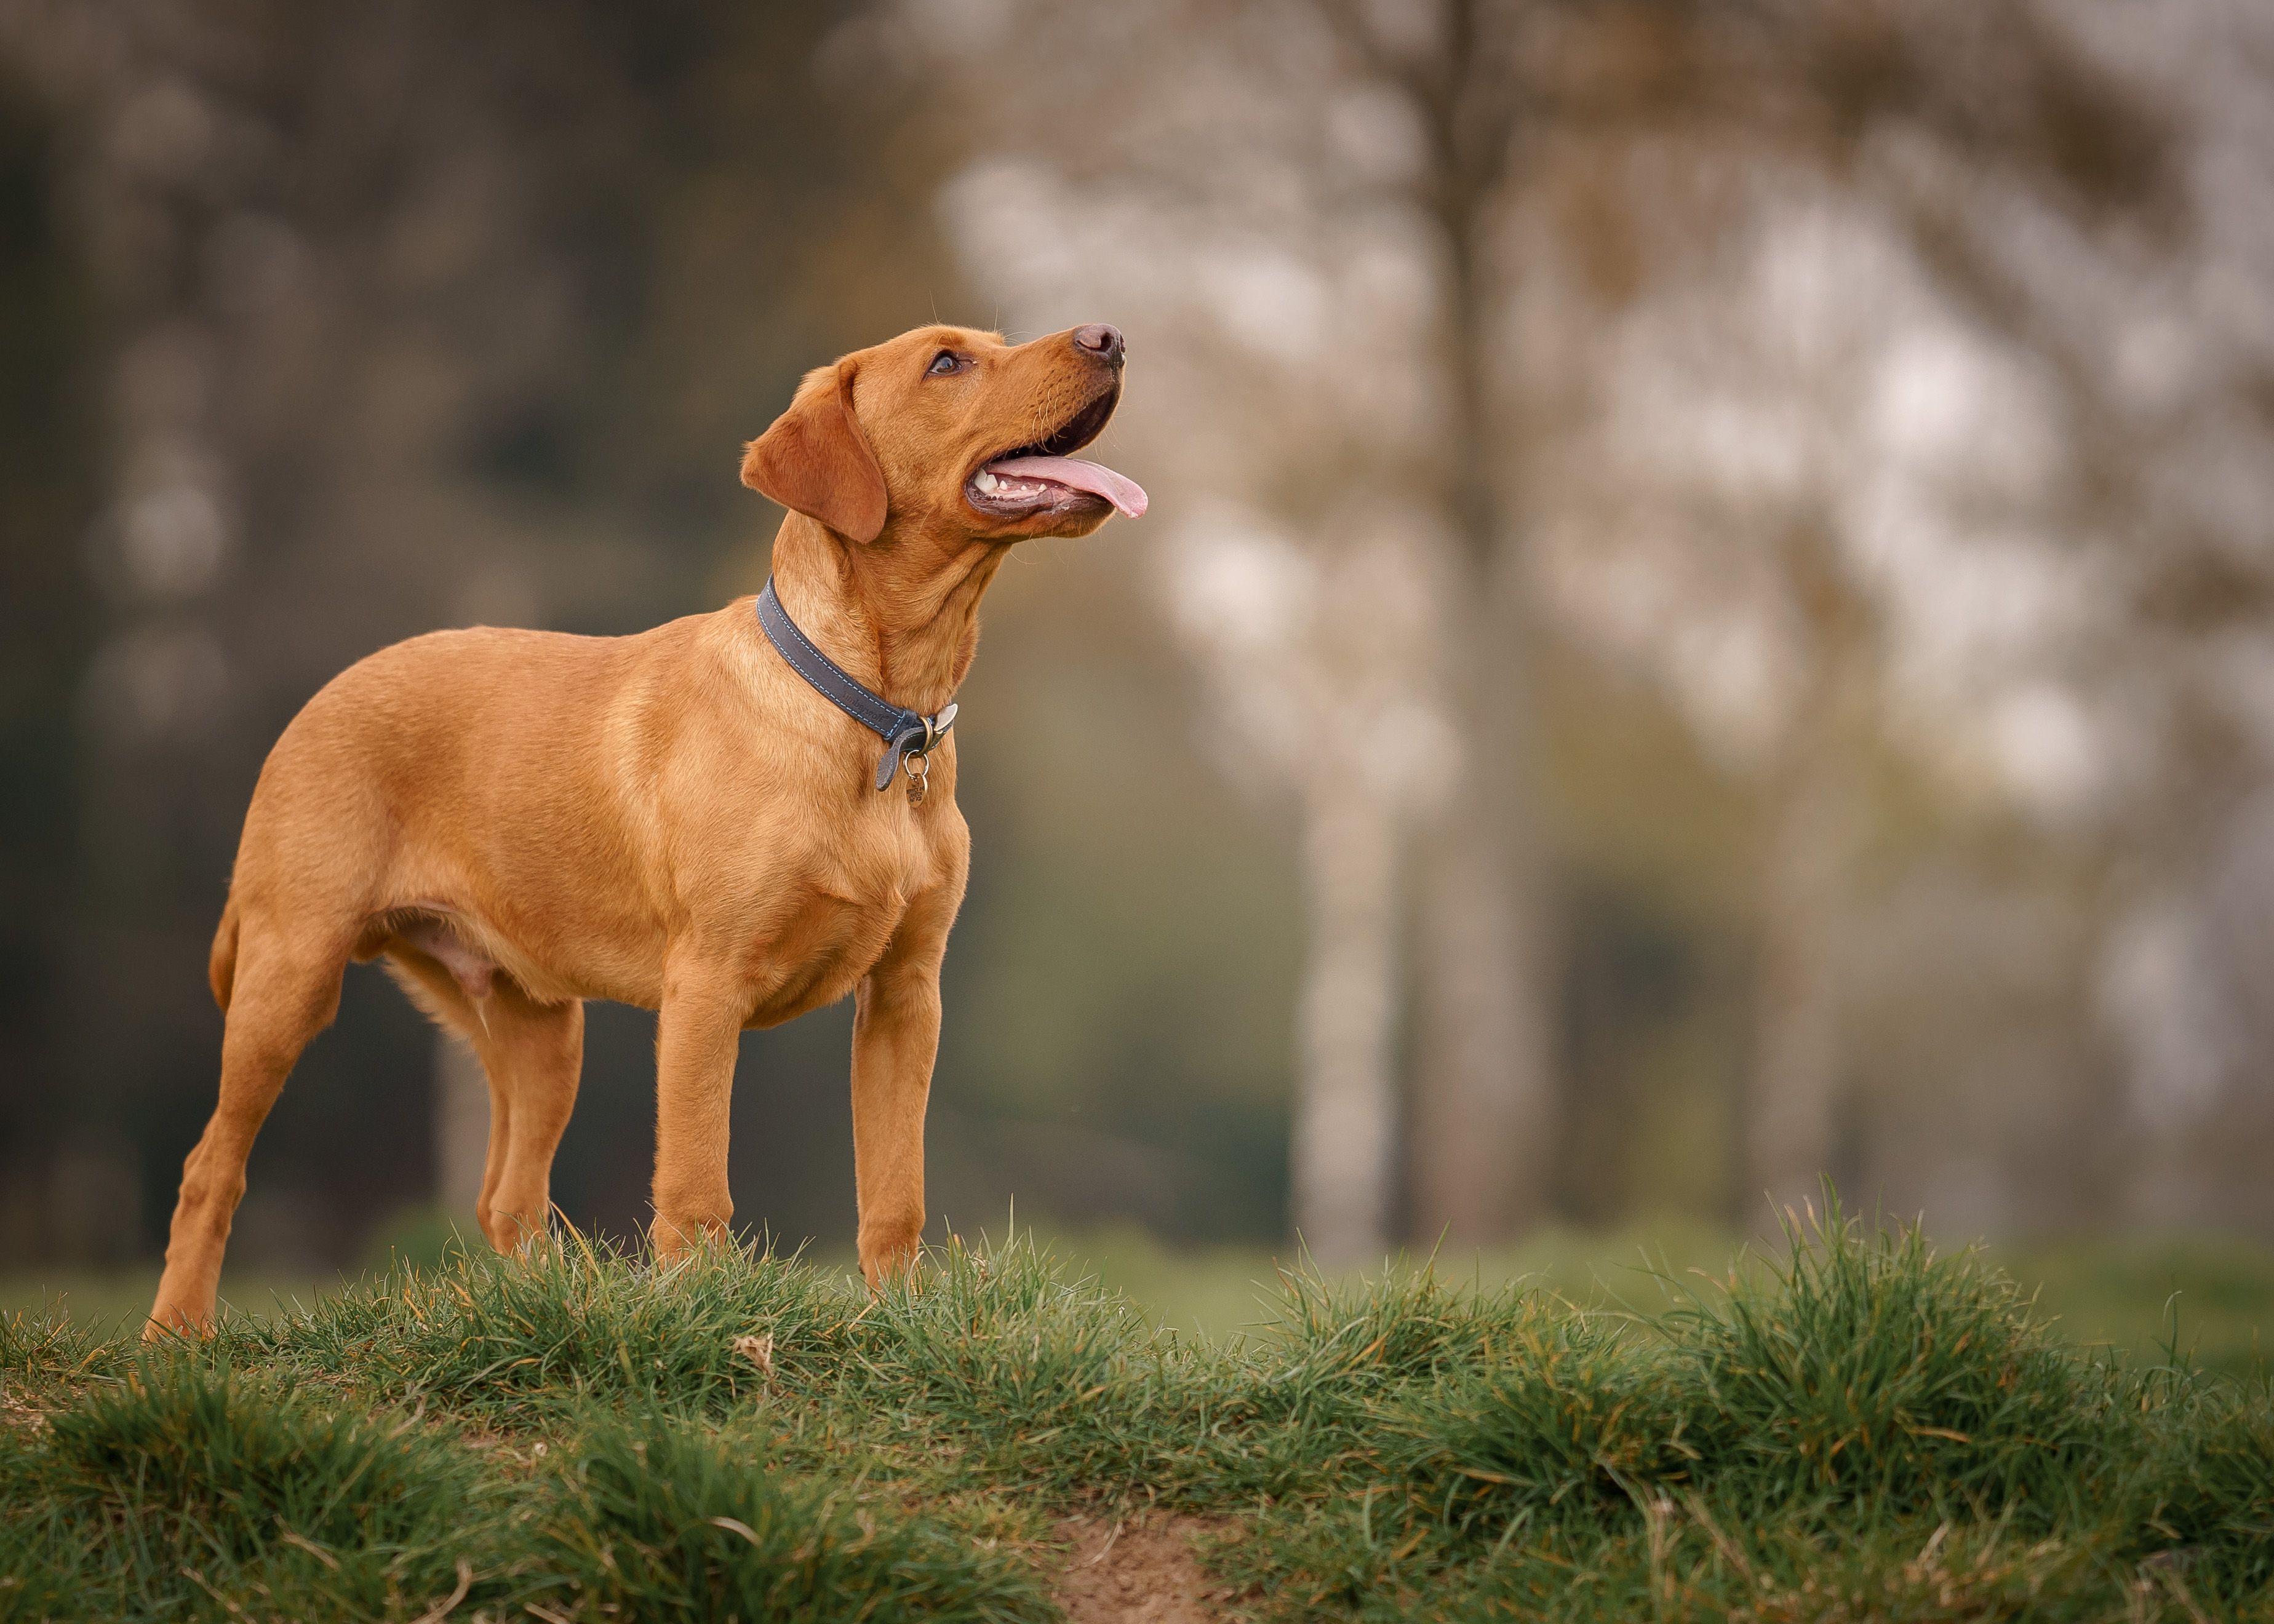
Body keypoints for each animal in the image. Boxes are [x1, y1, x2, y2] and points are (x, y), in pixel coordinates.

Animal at [149, 325, 1146, 1328]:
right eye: (947, 364)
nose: (1108, 336)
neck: (879, 715)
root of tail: (313, 705)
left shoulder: (908, 994)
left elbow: (895, 1190)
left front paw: (898, 1321)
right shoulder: (707, 983)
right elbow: (698, 1184)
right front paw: (701, 1316)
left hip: (542, 1029)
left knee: (506, 1197)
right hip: (290, 974)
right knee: (210, 1171)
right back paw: (177, 1334)